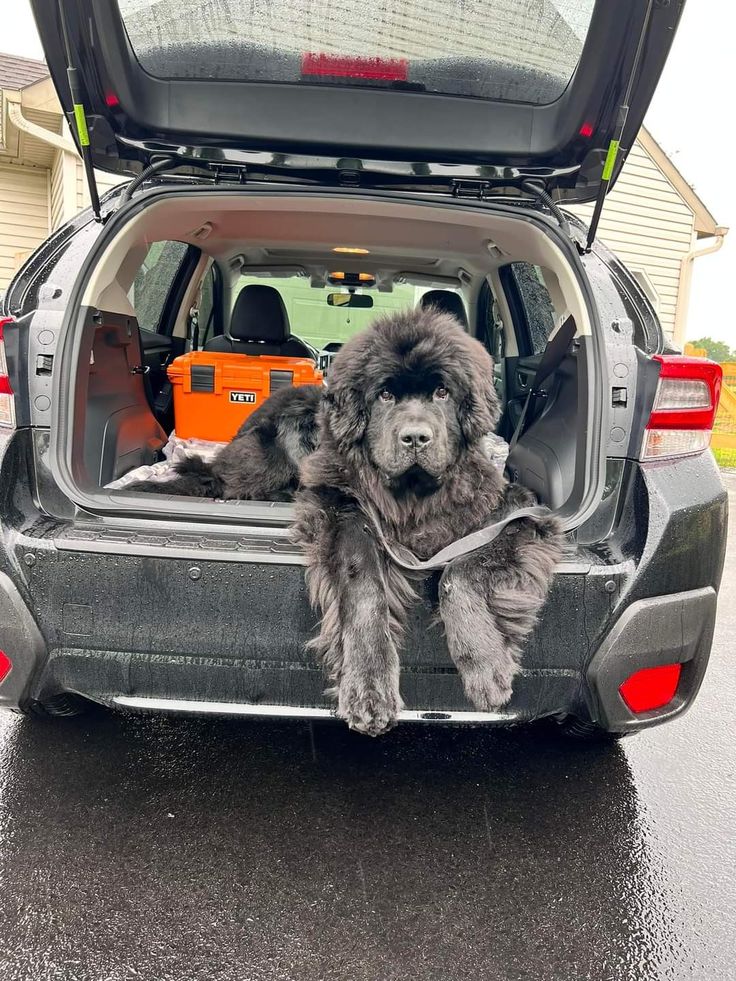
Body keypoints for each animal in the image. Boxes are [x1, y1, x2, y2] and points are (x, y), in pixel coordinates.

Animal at [290, 308, 560, 736]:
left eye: (442, 393)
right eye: (385, 395)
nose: (416, 437)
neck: (414, 497)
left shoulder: (516, 515)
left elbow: (458, 572)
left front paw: (486, 666)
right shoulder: (339, 506)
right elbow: (363, 583)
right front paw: (368, 688)